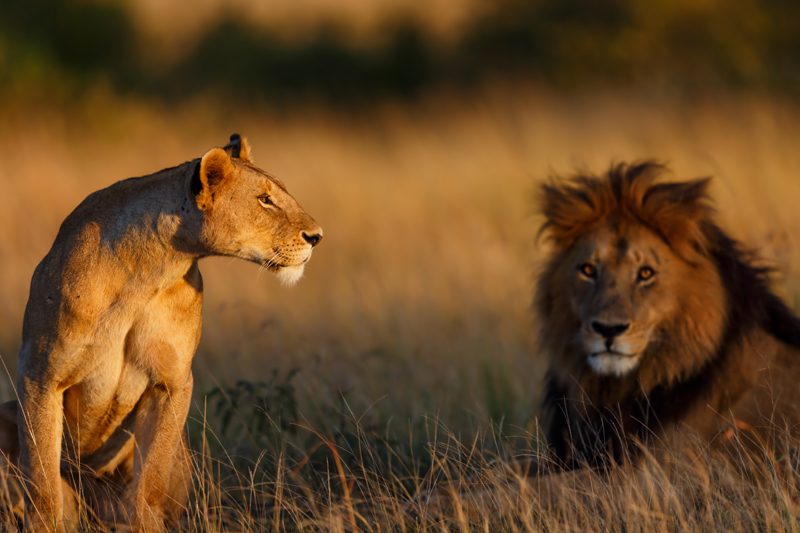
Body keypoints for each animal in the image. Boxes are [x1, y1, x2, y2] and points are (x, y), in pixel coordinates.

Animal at [2, 134, 322, 532]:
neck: (147, 272)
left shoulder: (171, 382)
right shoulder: (41, 374)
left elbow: (150, 481)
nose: (317, 236)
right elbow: (42, 477)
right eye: (265, 199)